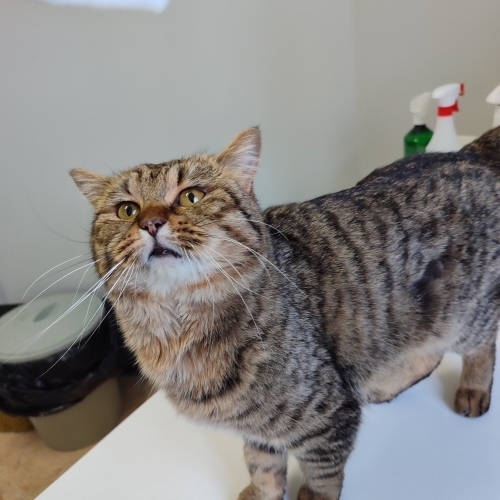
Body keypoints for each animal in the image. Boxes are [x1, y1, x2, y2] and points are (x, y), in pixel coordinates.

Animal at [71, 125, 500, 500]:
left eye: (191, 196)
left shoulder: (328, 416)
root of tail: (466, 154)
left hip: (464, 315)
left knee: (481, 346)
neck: (177, 333)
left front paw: (311, 495)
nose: (150, 222)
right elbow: (261, 464)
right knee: (428, 353)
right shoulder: (257, 428)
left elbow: (322, 472)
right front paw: (262, 492)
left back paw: (473, 390)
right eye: (127, 210)